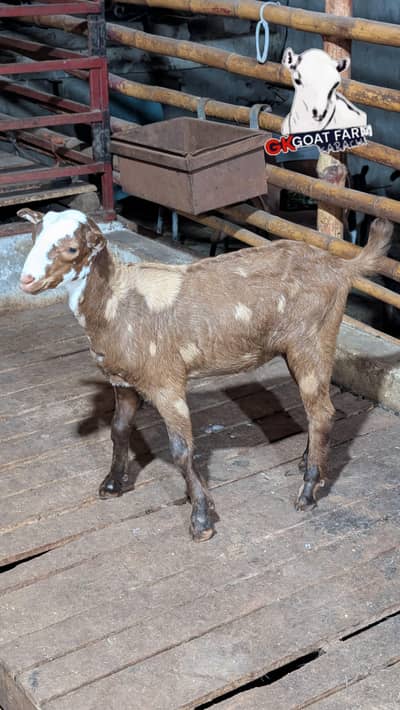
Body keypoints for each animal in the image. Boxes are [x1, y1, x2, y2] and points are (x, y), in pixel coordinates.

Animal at [19, 208, 392, 541]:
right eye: (34, 237)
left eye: (71, 248)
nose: (26, 280)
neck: (116, 298)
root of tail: (341, 266)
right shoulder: (123, 381)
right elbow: (119, 430)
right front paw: (112, 483)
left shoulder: (166, 381)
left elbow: (181, 451)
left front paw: (201, 519)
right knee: (318, 411)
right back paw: (309, 463)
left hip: (312, 340)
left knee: (322, 412)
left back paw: (309, 490)